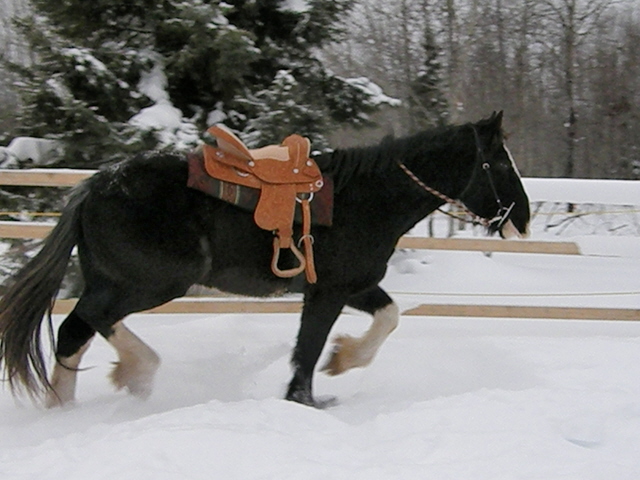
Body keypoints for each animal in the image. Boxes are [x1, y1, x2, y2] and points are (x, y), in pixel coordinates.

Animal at [0, 110, 528, 406]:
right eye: (500, 163)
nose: (521, 220)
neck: (366, 197)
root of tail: (93, 187)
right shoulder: (328, 291)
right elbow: (308, 350)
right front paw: (307, 397)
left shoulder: (351, 285)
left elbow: (388, 316)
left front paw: (343, 360)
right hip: (148, 283)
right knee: (89, 319)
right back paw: (138, 374)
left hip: (114, 281)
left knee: (74, 332)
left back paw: (65, 409)